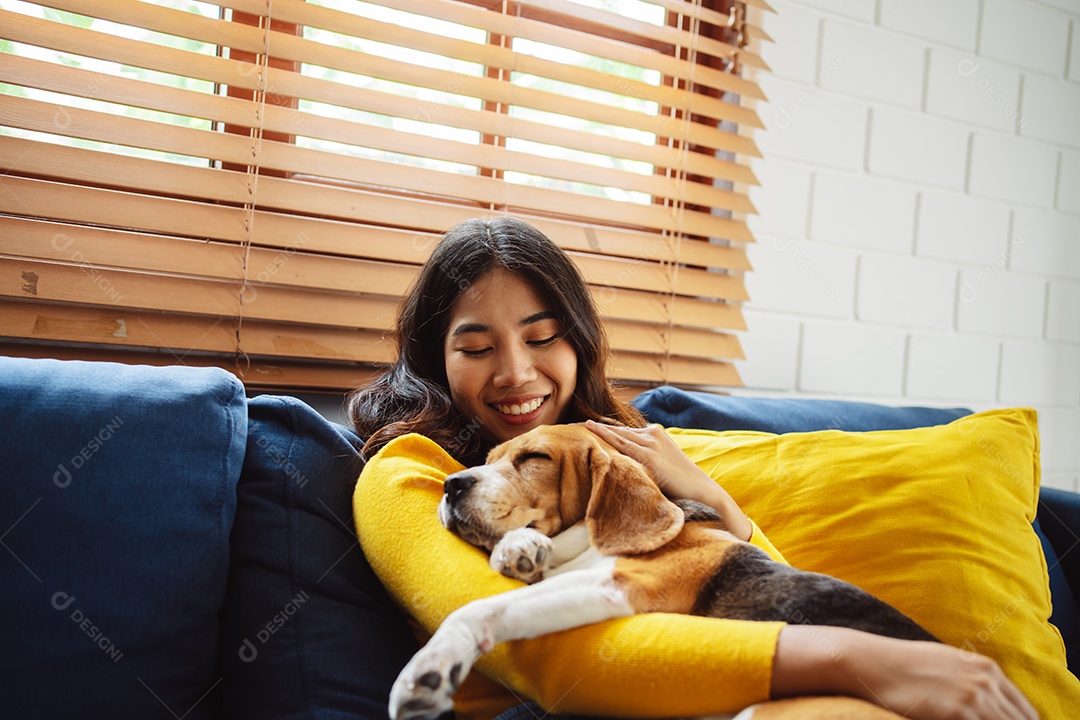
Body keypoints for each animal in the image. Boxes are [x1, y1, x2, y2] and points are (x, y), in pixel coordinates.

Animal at [390, 423, 937, 720]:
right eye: (487, 459)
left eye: (534, 457)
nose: (451, 485)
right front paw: (520, 549)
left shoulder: (621, 586)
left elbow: (479, 608)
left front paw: (427, 671)